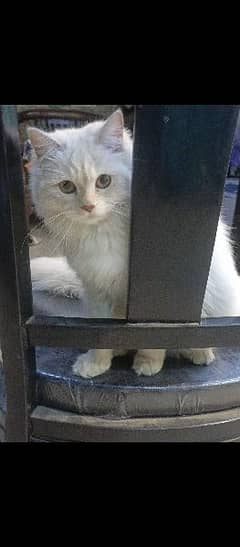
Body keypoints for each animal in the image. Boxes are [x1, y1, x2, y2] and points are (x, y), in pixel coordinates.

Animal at [26, 109, 240, 378]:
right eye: (66, 187)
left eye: (103, 181)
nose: (88, 206)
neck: (101, 235)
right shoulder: (97, 291)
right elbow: (103, 337)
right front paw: (96, 364)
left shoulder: (155, 293)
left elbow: (153, 339)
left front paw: (148, 364)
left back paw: (199, 354)